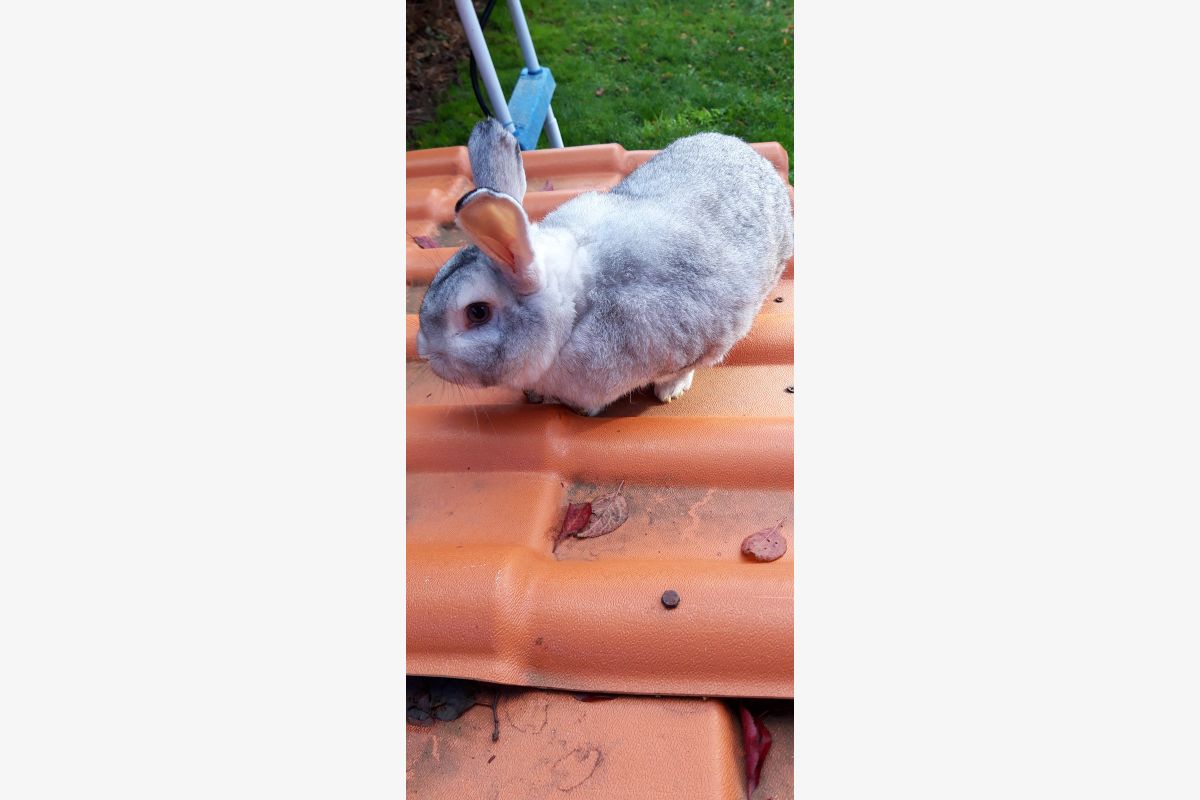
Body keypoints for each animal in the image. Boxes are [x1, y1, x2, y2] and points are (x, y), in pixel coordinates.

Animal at [416, 118, 793, 416]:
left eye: (477, 312)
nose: (423, 352)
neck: (576, 308)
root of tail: (750, 153)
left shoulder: (699, 339)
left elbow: (685, 369)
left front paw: (670, 391)